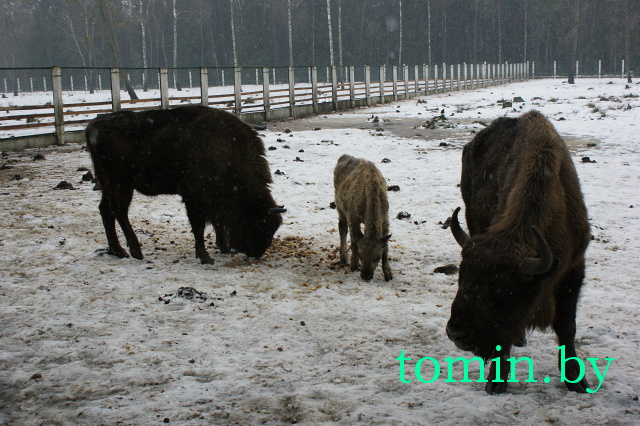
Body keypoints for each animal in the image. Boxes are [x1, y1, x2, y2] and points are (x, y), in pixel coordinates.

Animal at [85, 105, 285, 264]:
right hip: (122, 184)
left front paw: (224, 248)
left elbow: (217, 223)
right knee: (119, 211)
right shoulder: (194, 198)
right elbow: (199, 226)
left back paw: (118, 251)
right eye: (260, 224)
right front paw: (205, 257)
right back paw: (136, 252)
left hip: (109, 185)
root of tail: (93, 126)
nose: (256, 253)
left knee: (105, 210)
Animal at [446, 110, 591, 394]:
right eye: (461, 277)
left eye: (503, 287)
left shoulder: (574, 268)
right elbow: (503, 339)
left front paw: (577, 382)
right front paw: (496, 384)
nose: (456, 334)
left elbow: (567, 327)